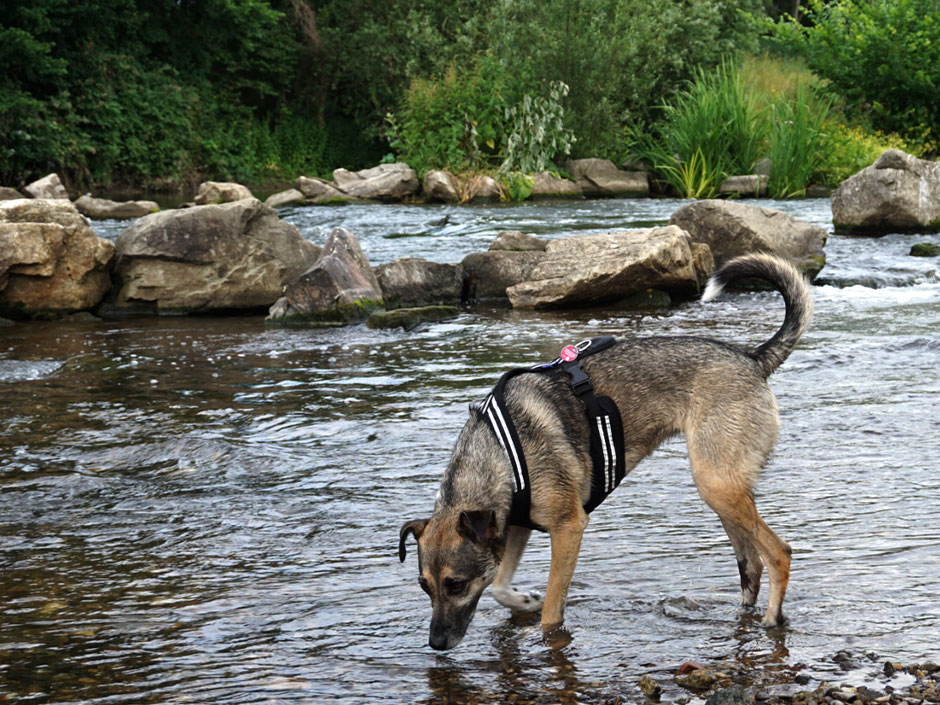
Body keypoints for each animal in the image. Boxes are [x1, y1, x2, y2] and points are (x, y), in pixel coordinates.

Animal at [396, 252, 808, 648]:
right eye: (424, 586)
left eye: (456, 584)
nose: (436, 644)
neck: (500, 453)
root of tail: (752, 358)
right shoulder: (514, 528)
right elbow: (499, 586)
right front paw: (522, 601)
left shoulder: (568, 529)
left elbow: (551, 610)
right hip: (723, 492)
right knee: (751, 565)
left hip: (717, 485)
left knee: (778, 553)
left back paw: (772, 618)